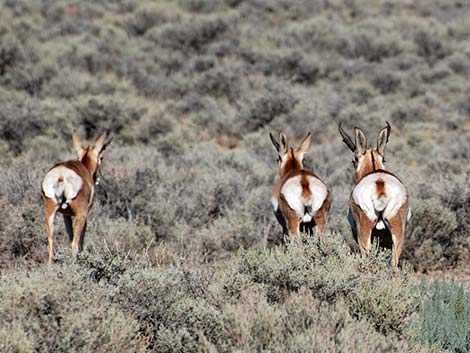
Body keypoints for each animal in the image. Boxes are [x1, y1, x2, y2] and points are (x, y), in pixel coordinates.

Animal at [41, 131, 111, 262]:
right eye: (101, 157)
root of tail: (61, 175)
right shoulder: (85, 216)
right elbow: (80, 240)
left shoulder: (66, 216)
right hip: (80, 215)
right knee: (74, 243)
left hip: (50, 213)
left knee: (50, 242)